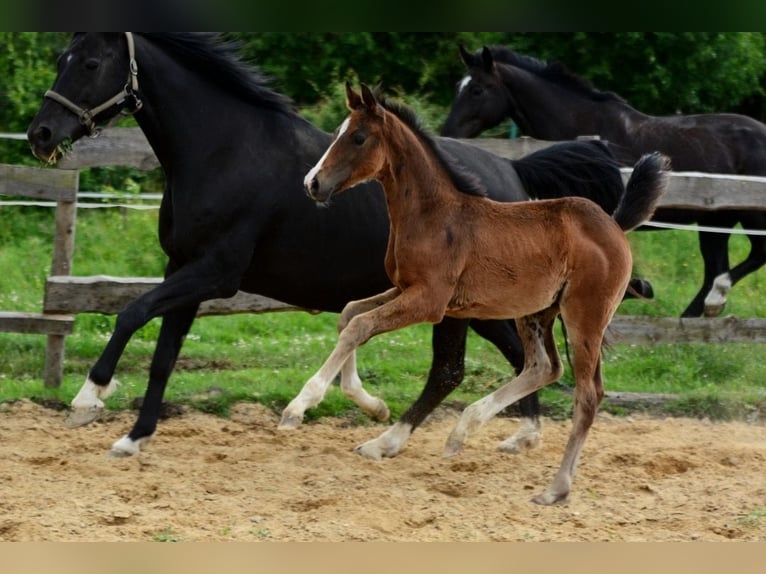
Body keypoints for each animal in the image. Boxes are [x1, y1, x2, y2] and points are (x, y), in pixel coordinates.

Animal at [27, 33, 635, 459]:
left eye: (89, 63)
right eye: (61, 57)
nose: (41, 134)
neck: (222, 150)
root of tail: (515, 172)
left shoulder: (213, 272)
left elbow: (130, 313)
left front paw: (87, 400)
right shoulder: (186, 269)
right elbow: (163, 357)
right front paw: (133, 437)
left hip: (473, 308)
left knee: (487, 363)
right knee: (509, 360)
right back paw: (493, 434)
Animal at [295, 82, 669, 503]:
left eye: (358, 137)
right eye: (339, 132)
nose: (312, 183)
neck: (433, 216)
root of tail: (613, 225)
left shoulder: (429, 301)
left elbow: (360, 325)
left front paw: (301, 405)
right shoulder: (407, 289)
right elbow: (349, 314)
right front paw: (373, 406)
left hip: (584, 316)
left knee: (587, 395)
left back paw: (555, 488)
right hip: (536, 312)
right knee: (543, 366)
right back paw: (463, 431)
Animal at [442, 44, 766, 318]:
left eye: (477, 89)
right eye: (458, 87)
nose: (447, 132)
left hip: (749, 215)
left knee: (751, 257)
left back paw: (714, 299)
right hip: (716, 221)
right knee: (716, 268)